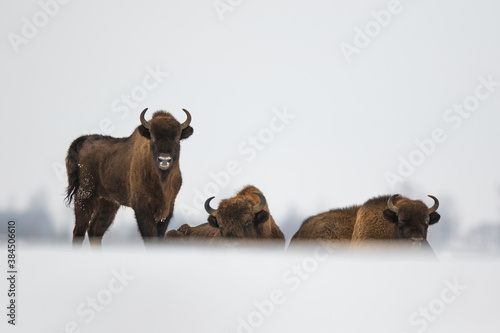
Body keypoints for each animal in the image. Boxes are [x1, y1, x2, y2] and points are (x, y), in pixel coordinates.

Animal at [65, 107, 193, 245]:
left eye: (177, 138)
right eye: (152, 137)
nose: (164, 160)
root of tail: (84, 141)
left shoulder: (167, 210)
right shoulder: (142, 208)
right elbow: (150, 236)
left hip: (108, 203)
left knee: (95, 230)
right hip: (84, 196)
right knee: (79, 230)